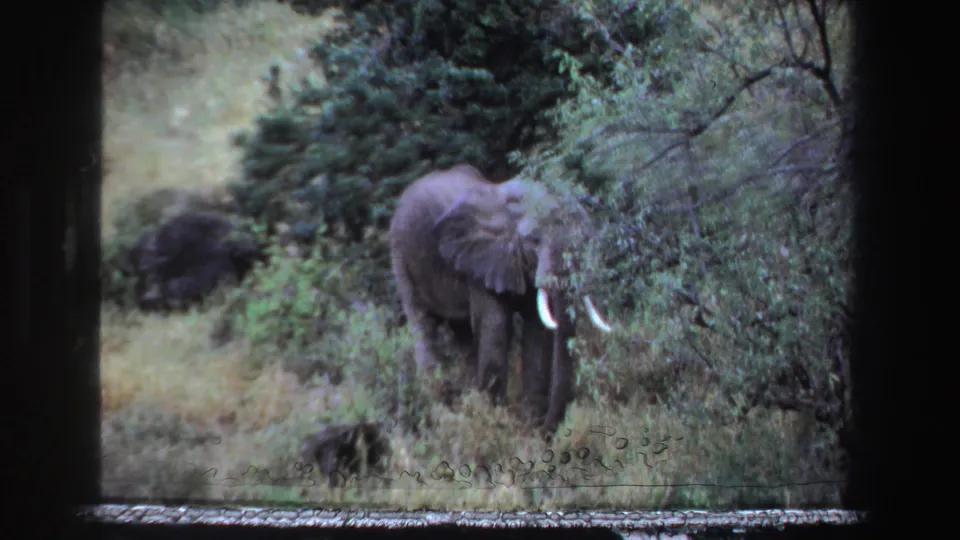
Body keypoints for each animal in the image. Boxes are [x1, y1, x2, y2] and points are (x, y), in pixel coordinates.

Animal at [388, 164, 613, 433]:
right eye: (534, 241)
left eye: (585, 240)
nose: (547, 431)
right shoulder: (479, 261)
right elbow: (495, 327)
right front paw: (496, 423)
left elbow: (537, 333)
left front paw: (528, 428)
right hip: (402, 255)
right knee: (423, 326)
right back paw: (440, 414)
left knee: (463, 335)